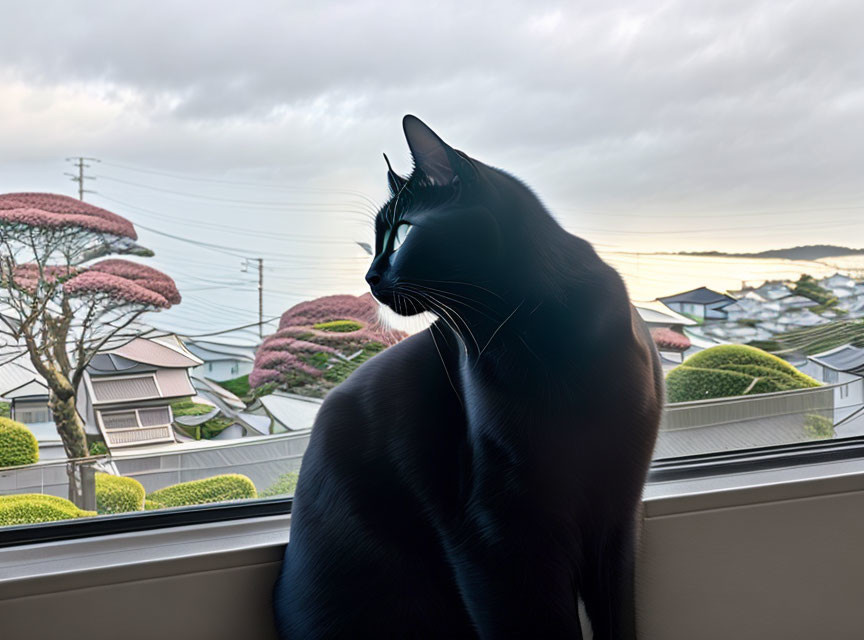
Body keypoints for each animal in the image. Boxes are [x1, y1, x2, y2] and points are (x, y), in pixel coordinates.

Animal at [276, 116, 660, 640]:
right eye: (375, 242)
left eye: (401, 235)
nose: (369, 277)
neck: (538, 341)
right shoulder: (494, 535)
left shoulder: (617, 515)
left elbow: (620, 620)